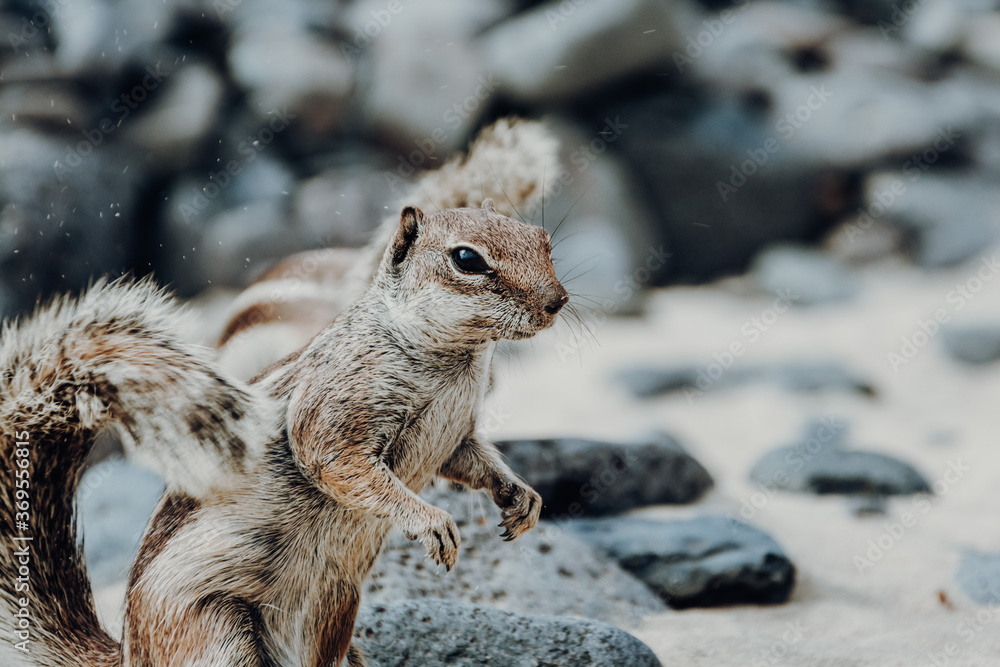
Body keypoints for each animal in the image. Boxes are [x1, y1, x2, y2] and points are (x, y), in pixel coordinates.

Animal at [0, 196, 568, 666]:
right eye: (466, 259)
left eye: (543, 240)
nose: (556, 301)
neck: (458, 359)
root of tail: (129, 655)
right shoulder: (337, 405)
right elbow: (334, 458)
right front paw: (430, 520)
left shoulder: (456, 434)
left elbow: (472, 461)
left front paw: (521, 498)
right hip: (214, 633)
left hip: (335, 609)